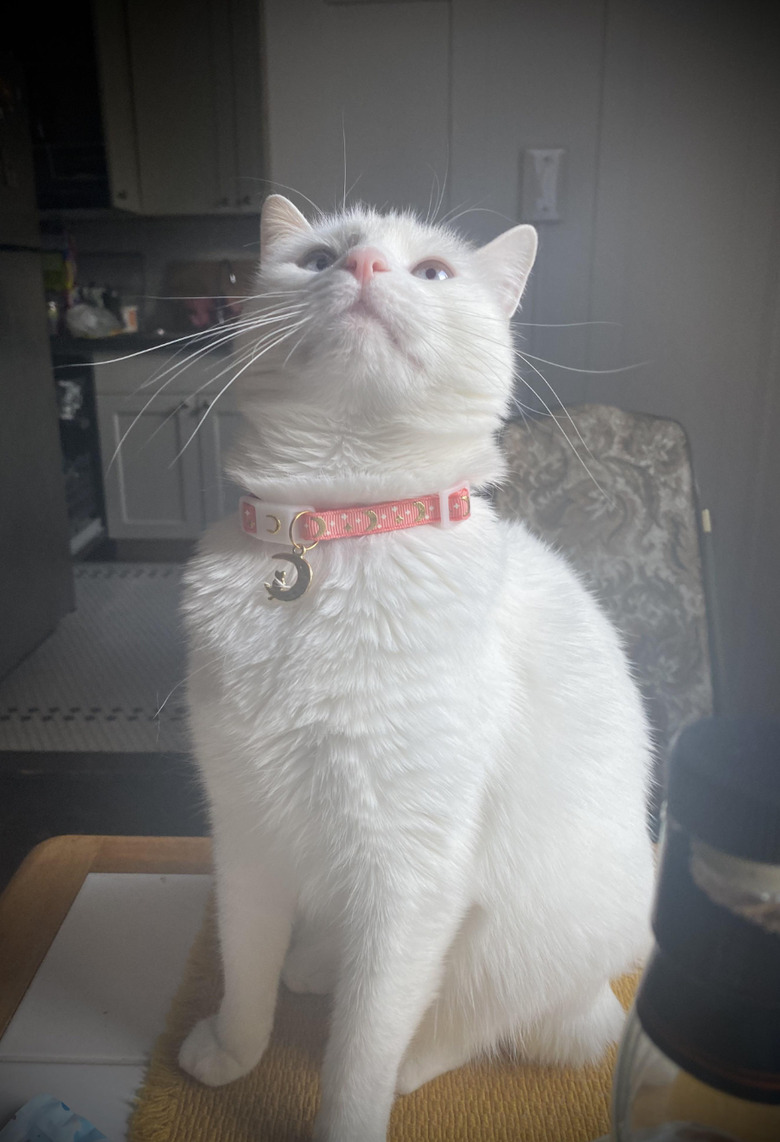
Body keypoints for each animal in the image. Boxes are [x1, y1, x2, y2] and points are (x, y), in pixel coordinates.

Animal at [178, 196, 657, 1142]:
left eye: (433, 272)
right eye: (318, 257)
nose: (362, 268)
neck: (329, 536)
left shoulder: (408, 879)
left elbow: (356, 1058)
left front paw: (348, 1117)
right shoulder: (245, 831)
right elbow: (244, 972)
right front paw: (229, 1057)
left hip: (511, 937)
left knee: (467, 1026)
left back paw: (411, 1056)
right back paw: (313, 966)